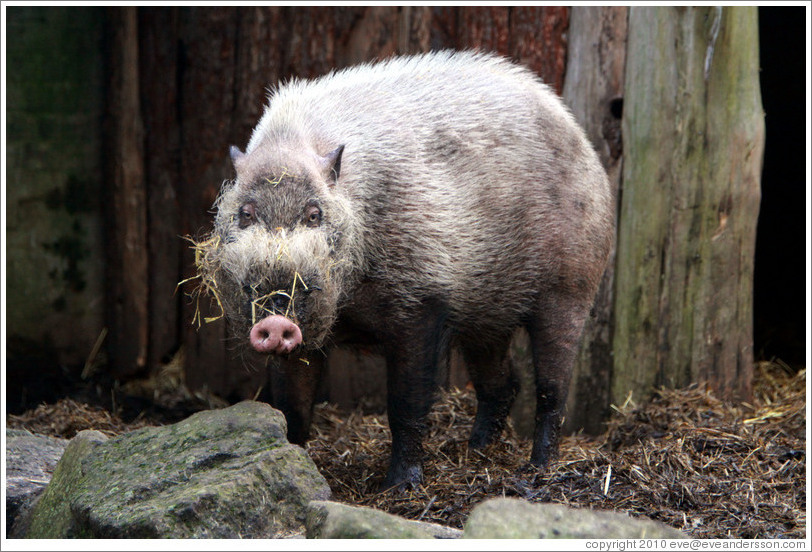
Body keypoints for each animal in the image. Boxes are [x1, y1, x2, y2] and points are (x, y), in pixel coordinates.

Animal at [194, 50, 614, 489]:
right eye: (245, 213)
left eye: (314, 214)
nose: (275, 319)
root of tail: (583, 142)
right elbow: (291, 403)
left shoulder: (422, 300)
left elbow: (406, 402)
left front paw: (400, 485)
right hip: (487, 317)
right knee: (503, 385)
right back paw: (475, 451)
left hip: (571, 284)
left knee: (552, 389)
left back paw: (534, 472)